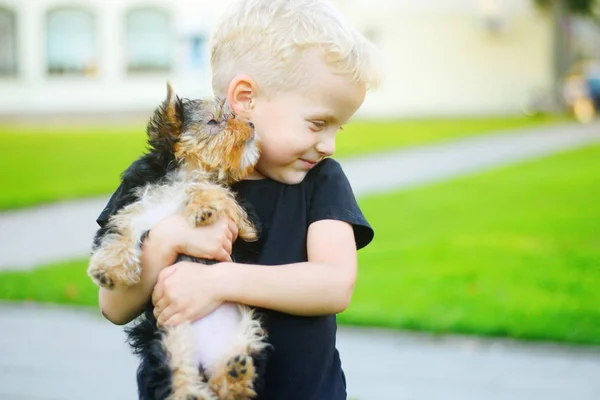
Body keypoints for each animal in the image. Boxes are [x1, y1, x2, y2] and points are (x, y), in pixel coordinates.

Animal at [87, 83, 270, 398]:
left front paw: (203, 203)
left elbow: (219, 192)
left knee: (230, 380)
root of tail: (209, 358)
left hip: (247, 330)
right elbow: (119, 231)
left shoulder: (250, 226)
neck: (184, 172)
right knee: (179, 376)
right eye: (214, 121)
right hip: (166, 341)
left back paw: (235, 373)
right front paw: (109, 269)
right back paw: (200, 387)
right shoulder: (130, 207)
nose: (251, 125)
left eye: (233, 115)